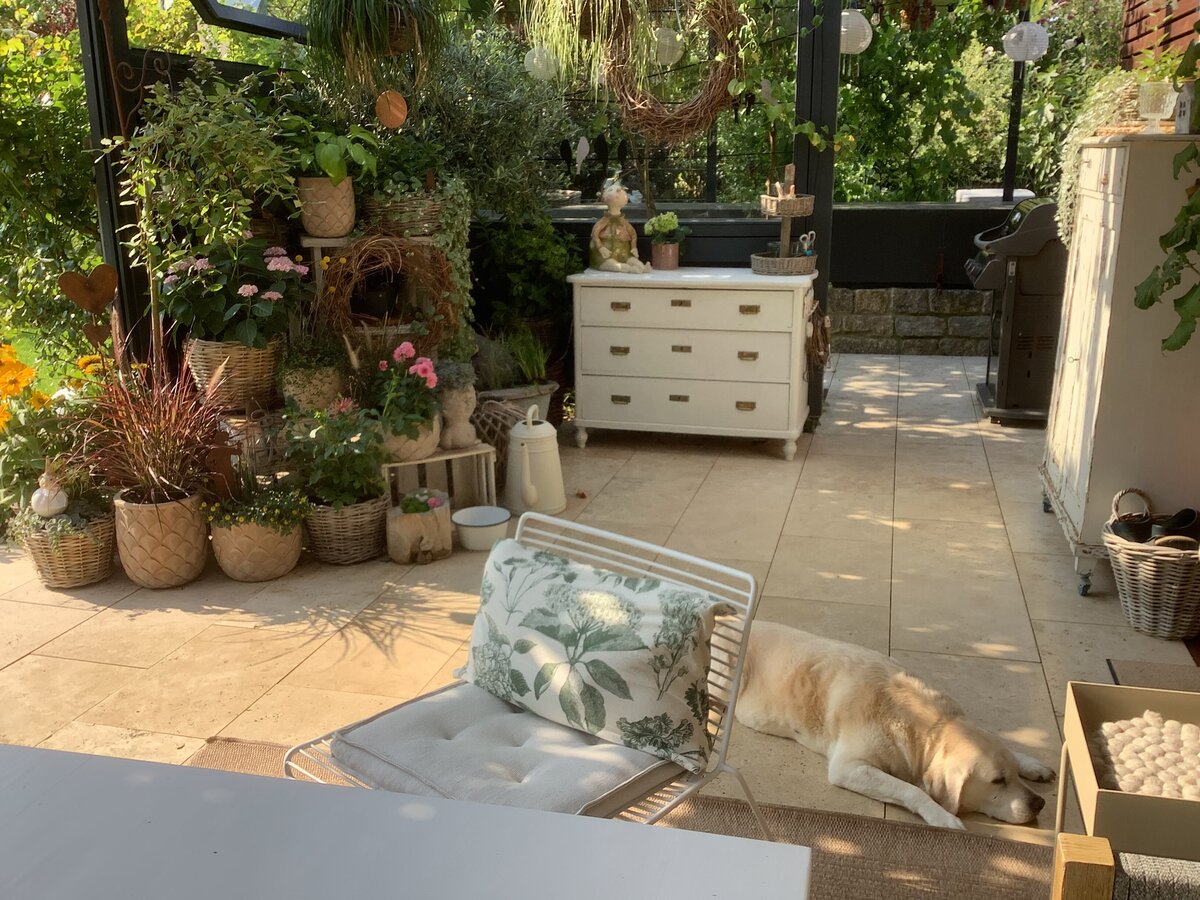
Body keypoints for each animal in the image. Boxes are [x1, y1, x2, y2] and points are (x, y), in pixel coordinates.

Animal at [735, 622, 1056, 830]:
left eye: (1012, 773)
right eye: (997, 781)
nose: (1039, 804)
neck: (927, 725)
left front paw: (1031, 763)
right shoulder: (849, 766)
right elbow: (912, 789)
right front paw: (942, 817)